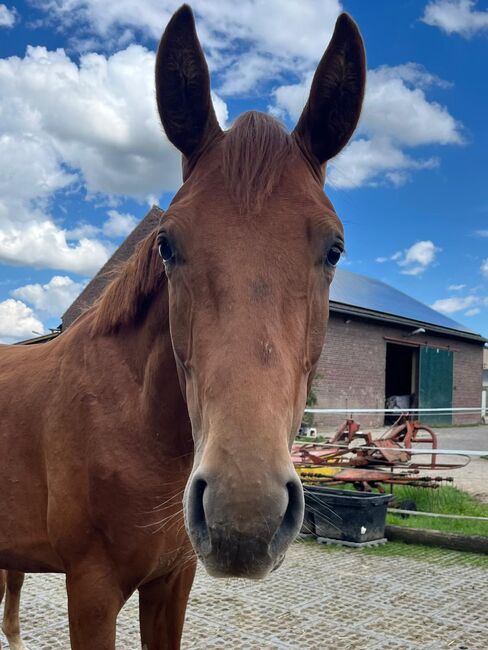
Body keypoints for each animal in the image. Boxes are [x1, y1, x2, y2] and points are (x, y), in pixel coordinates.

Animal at [0, 6, 364, 648]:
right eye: (167, 244)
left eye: (334, 249)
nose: (244, 514)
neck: (126, 421)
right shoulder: (90, 592)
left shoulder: (172, 584)